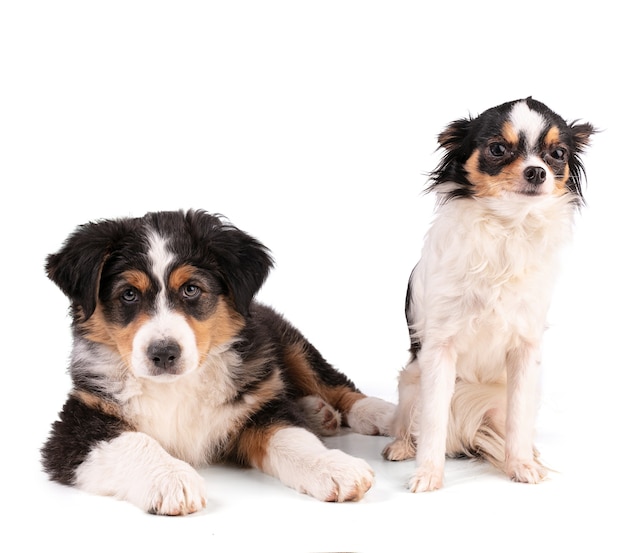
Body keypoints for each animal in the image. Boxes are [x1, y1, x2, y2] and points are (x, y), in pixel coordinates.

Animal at [42, 209, 394, 516]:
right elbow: (133, 441)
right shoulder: (75, 426)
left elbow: (293, 437)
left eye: (191, 289)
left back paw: (382, 413)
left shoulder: (257, 407)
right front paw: (172, 478)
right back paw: (319, 413)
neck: (175, 388)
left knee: (332, 381)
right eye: (129, 294)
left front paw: (333, 466)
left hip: (287, 339)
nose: (164, 353)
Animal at [382, 98, 592, 492]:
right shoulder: (439, 351)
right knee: (410, 420)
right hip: (410, 383)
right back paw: (401, 446)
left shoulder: (525, 350)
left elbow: (518, 420)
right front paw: (428, 473)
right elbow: (432, 422)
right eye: (497, 149)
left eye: (558, 154)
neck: (508, 228)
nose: (537, 171)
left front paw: (521, 464)